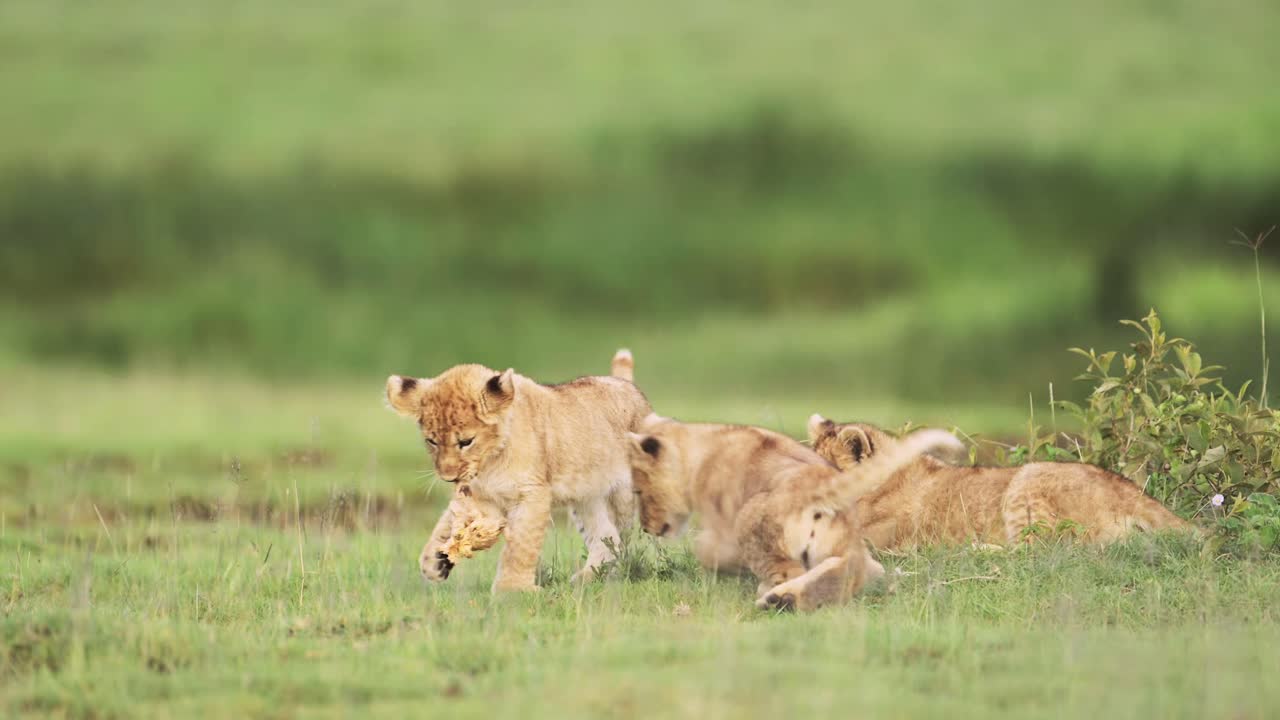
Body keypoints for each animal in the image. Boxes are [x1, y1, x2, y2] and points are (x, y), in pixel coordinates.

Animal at [386, 349, 649, 591]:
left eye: (466, 442)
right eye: (431, 441)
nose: (448, 477)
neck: (489, 463)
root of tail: (626, 384)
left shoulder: (532, 493)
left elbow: (521, 546)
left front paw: (510, 590)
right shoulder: (476, 494)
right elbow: (447, 522)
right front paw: (435, 561)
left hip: (625, 494)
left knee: (622, 539)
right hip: (587, 498)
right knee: (606, 535)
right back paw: (586, 580)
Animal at [626, 415, 963, 611]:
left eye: (639, 491)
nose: (646, 528)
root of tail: (818, 490)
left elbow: (710, 551)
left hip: (754, 524)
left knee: (793, 571)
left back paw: (774, 596)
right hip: (849, 549)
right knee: (845, 572)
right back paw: (782, 598)